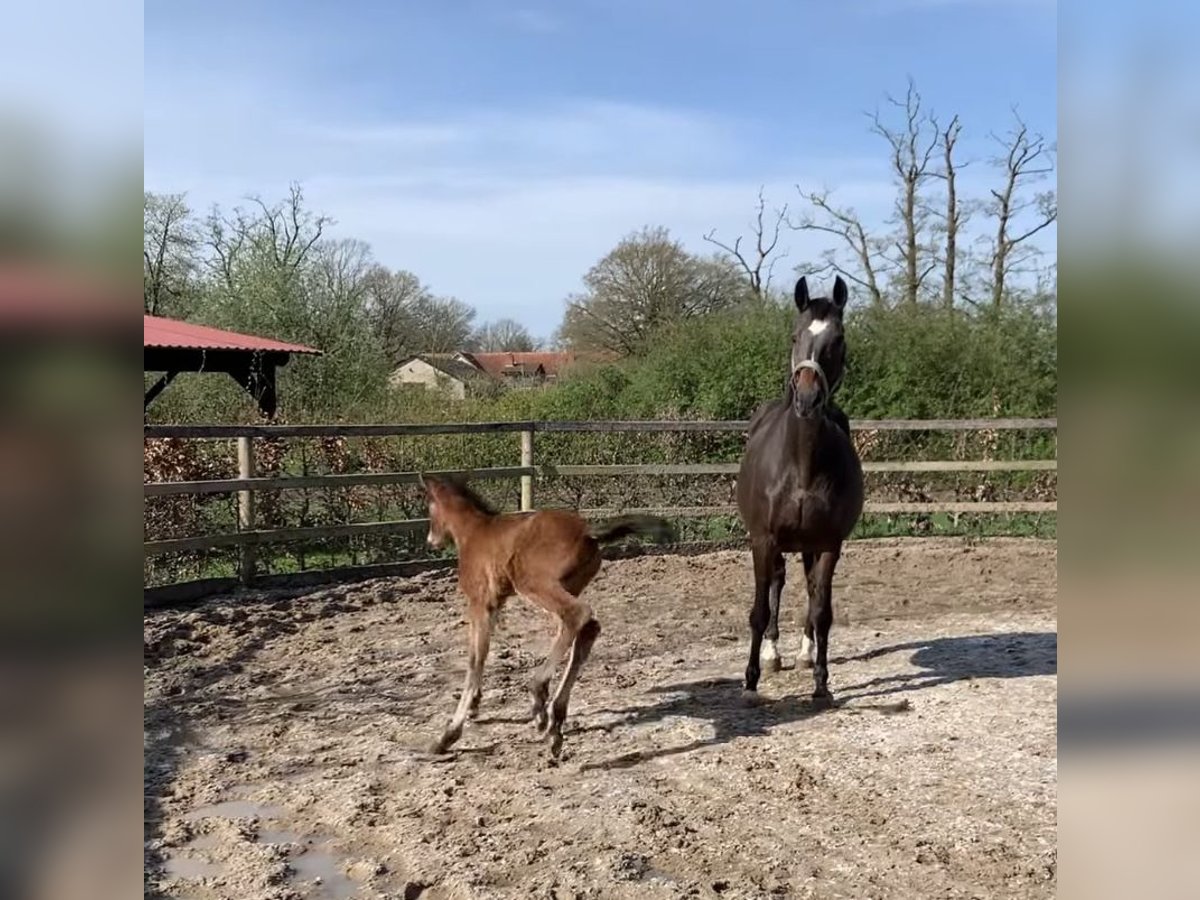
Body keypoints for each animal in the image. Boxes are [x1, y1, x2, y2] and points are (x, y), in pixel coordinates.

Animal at [420, 475, 676, 758]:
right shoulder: (495, 604)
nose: (431, 540)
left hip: (534, 583)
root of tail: (586, 530)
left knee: (578, 615)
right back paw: (555, 721)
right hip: (567, 586)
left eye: (429, 506)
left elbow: (475, 660)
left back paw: (539, 696)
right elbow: (480, 656)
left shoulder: (480, 604)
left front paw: (448, 735)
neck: (473, 532)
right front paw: (474, 705)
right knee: (586, 628)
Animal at [729, 274, 864, 705]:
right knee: (777, 581)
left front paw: (822, 681)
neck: (801, 464)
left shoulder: (829, 543)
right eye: (794, 335)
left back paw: (804, 654)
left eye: (839, 339)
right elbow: (758, 611)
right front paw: (750, 681)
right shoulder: (763, 539)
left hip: (809, 544)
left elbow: (822, 611)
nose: (807, 398)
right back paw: (773, 655)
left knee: (808, 588)